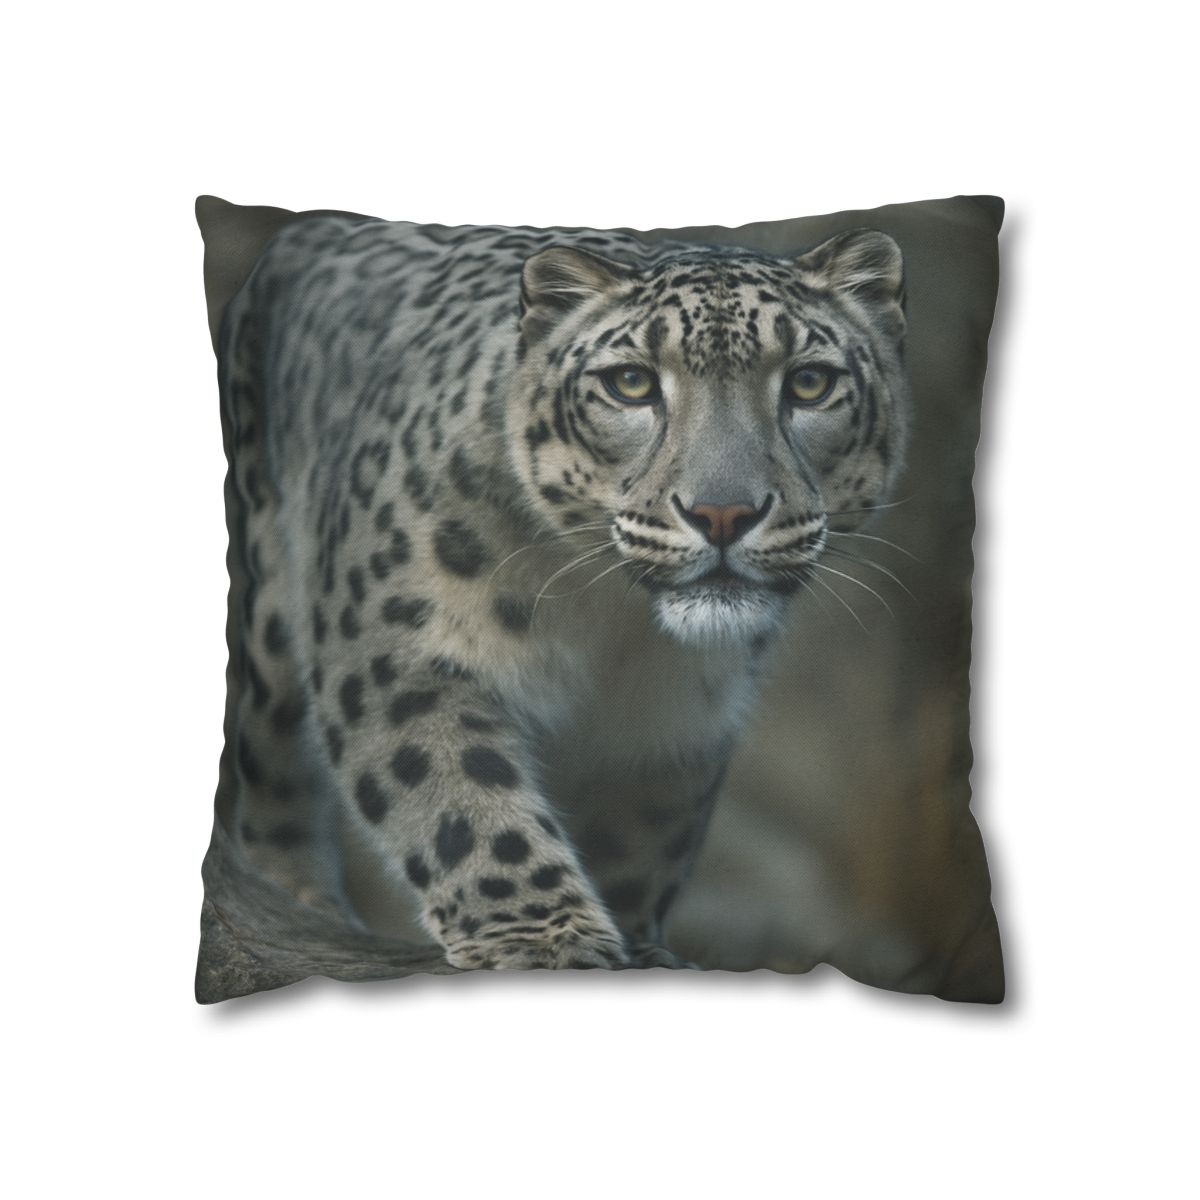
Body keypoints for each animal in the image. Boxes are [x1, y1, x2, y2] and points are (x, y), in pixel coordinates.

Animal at [215, 213, 910, 971]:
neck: (611, 625)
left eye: (810, 383)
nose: (723, 513)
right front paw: (542, 938)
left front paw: (639, 947)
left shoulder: (676, 725)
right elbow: (455, 789)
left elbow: (640, 838)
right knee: (270, 772)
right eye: (631, 383)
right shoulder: (398, 648)